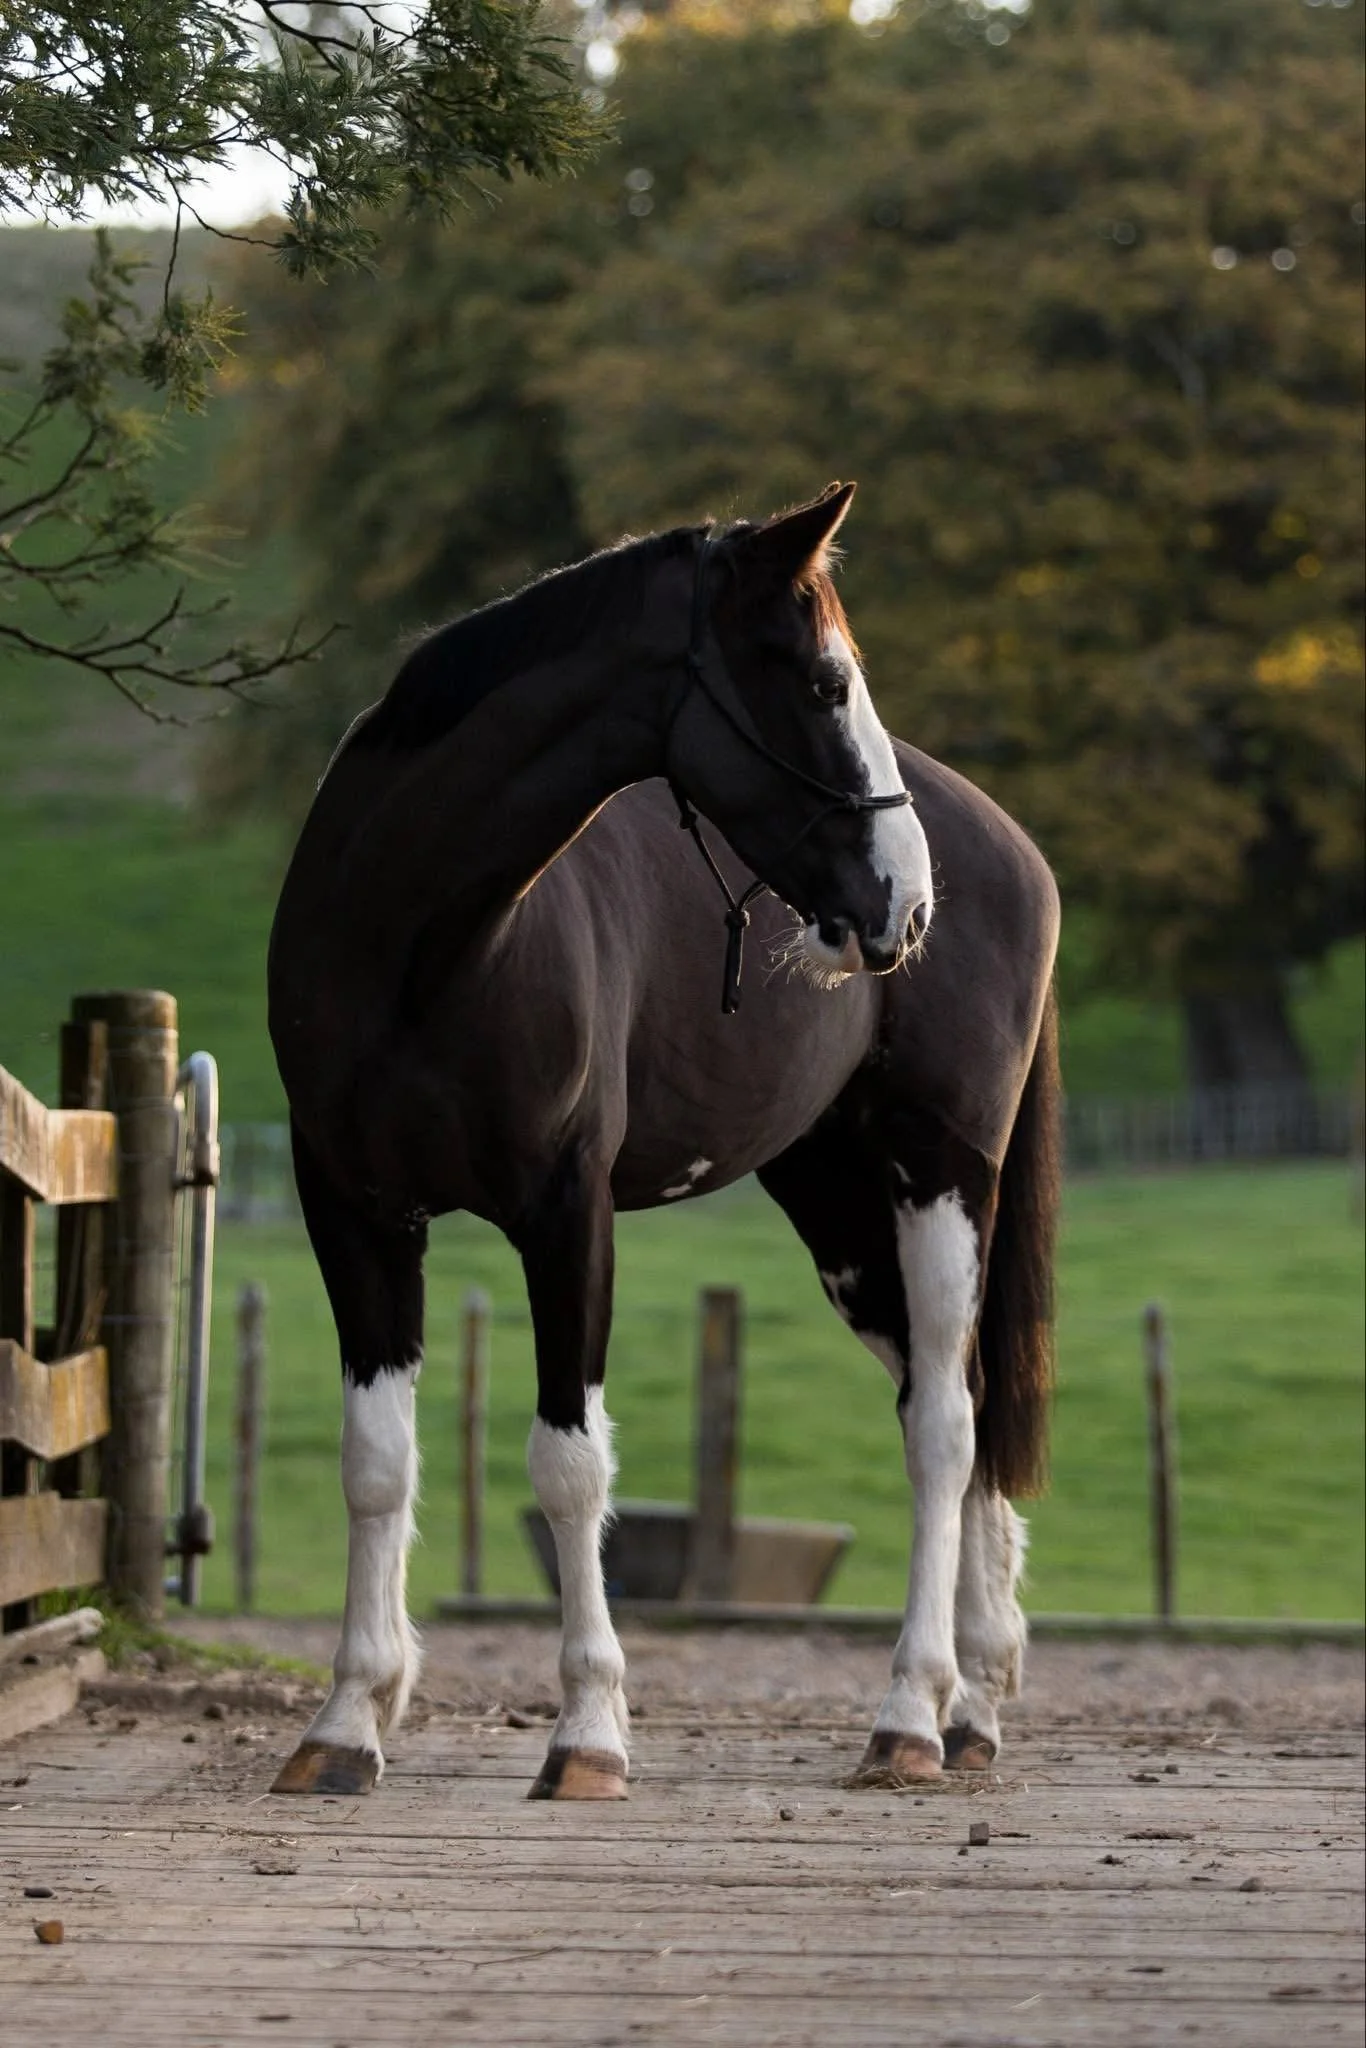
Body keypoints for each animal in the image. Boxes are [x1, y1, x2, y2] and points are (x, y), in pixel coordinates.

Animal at [266, 482, 1060, 1801]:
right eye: (826, 682)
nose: (905, 896)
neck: (426, 947)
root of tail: (1010, 849)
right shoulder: (354, 1208)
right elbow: (375, 1460)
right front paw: (345, 1721)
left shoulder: (565, 1211)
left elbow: (569, 1464)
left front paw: (586, 1732)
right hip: (842, 1214)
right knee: (956, 1399)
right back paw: (974, 1702)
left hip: (940, 1177)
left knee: (946, 1424)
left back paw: (909, 1712)